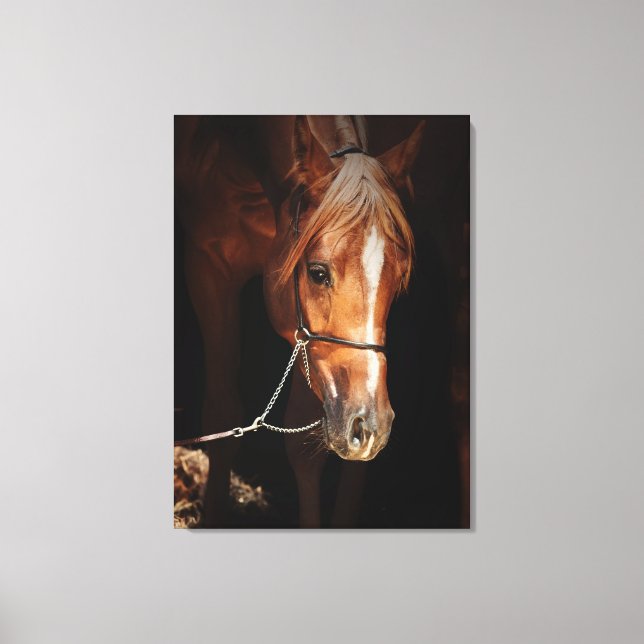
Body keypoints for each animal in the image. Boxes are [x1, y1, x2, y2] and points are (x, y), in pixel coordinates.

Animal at [175, 115, 425, 527]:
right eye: (318, 273)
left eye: (399, 280)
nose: (369, 424)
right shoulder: (209, 268)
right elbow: (222, 409)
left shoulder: (308, 348)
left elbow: (305, 451)